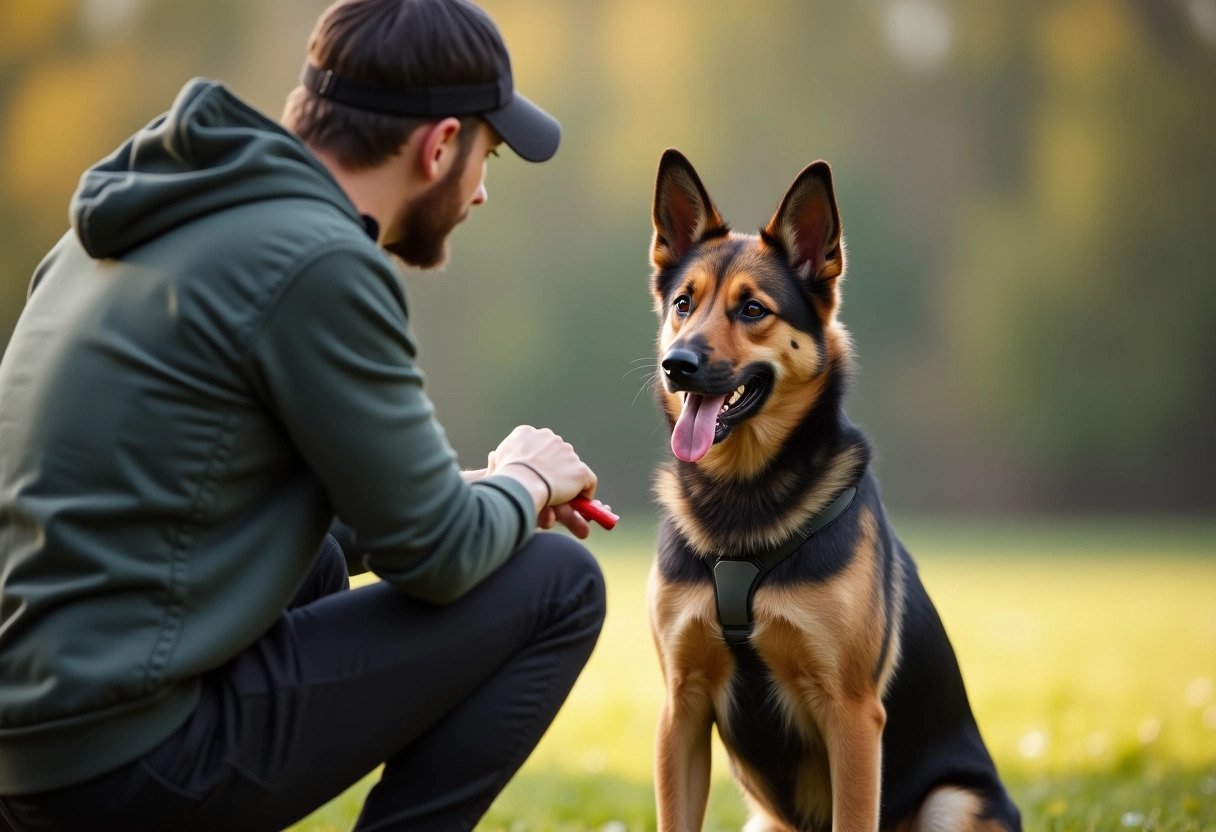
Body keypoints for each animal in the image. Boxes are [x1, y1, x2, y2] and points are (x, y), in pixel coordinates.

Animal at [642, 150, 1021, 832]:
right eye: (683, 303)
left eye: (753, 310)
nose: (676, 364)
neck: (743, 495)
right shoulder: (680, 707)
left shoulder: (851, 714)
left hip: (951, 803)